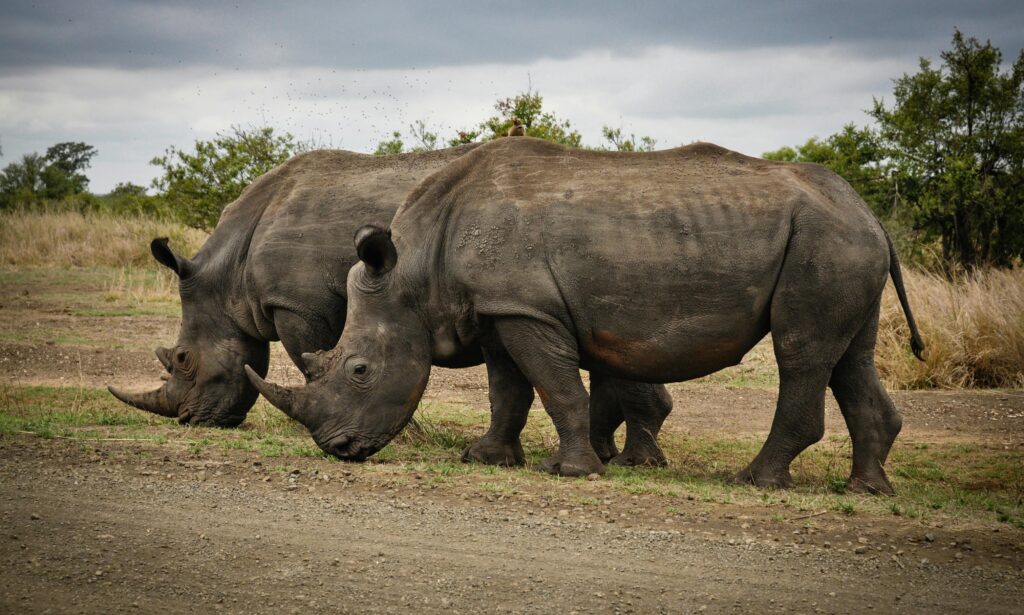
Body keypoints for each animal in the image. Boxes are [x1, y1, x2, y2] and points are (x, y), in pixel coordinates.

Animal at [108, 145, 671, 466]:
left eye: (183, 360)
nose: (188, 419)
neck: (229, 274)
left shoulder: (297, 305)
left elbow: (312, 359)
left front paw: (407, 435)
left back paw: (623, 457)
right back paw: (614, 454)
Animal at [247, 137, 925, 494]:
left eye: (359, 370)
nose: (338, 448)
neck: (415, 270)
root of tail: (869, 213)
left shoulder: (528, 310)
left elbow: (555, 386)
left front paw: (571, 471)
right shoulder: (500, 309)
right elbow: (508, 390)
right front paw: (485, 458)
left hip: (825, 243)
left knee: (800, 352)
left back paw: (755, 480)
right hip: (840, 243)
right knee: (848, 356)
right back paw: (866, 489)